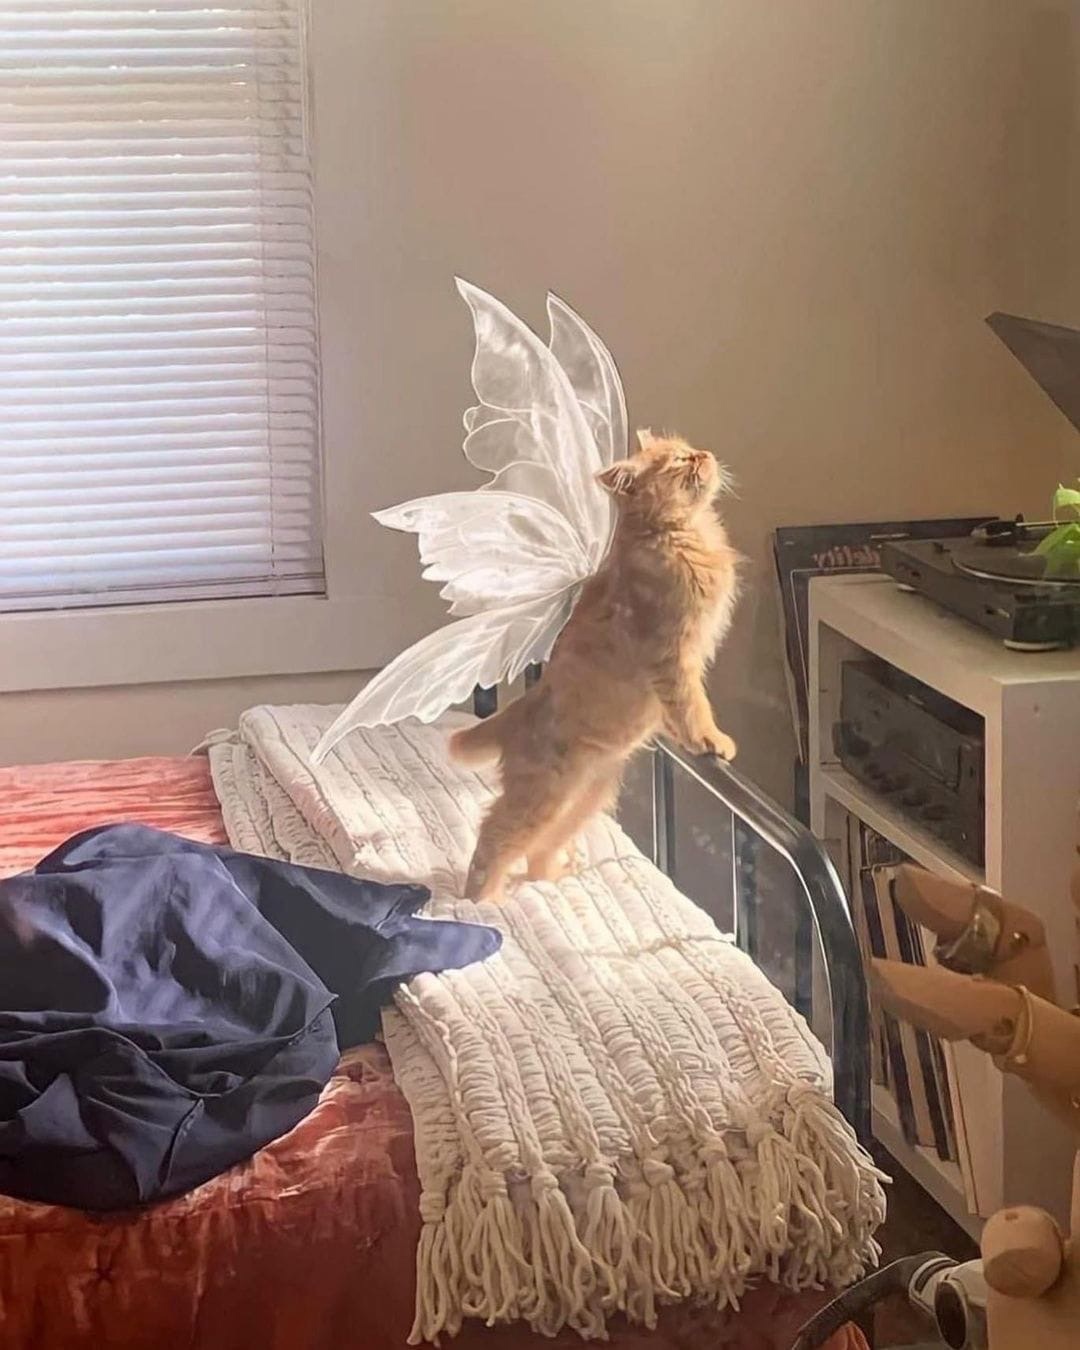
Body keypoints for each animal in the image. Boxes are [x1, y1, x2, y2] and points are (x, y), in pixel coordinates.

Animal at [450, 430, 740, 903]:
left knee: (537, 850)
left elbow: (680, 711)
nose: (705, 454)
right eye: (680, 461)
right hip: (542, 798)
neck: (678, 534)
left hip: (586, 800)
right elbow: (692, 706)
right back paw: (487, 903)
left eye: (689, 448)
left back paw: (551, 879)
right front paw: (710, 741)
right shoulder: (673, 655)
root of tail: (517, 711)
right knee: (493, 839)